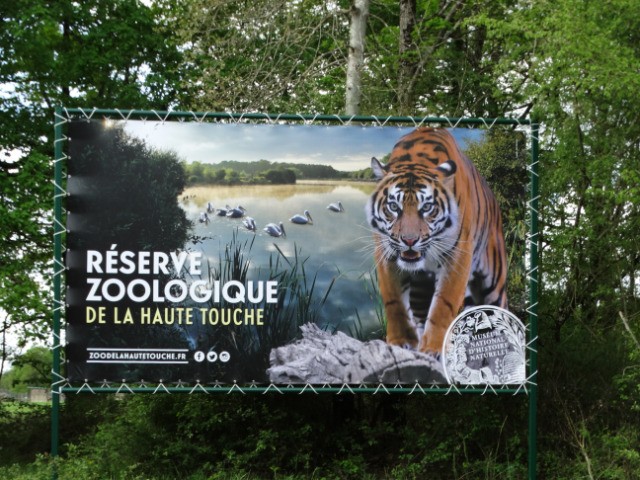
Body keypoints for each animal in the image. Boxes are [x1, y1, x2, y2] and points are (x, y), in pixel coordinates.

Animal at [368, 126, 508, 352]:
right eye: (393, 206)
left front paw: (434, 347)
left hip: (495, 285)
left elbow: (444, 304)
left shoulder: (458, 255)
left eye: (427, 207)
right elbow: (394, 301)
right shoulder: (386, 253)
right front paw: (400, 341)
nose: (409, 240)